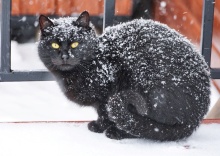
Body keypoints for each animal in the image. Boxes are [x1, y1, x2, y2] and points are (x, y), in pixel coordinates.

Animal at [37, 11, 210, 141]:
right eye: (54, 44)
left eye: (75, 44)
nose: (65, 56)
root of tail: (196, 117)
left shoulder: (107, 93)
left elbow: (104, 113)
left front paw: (99, 126)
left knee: (148, 129)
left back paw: (117, 132)